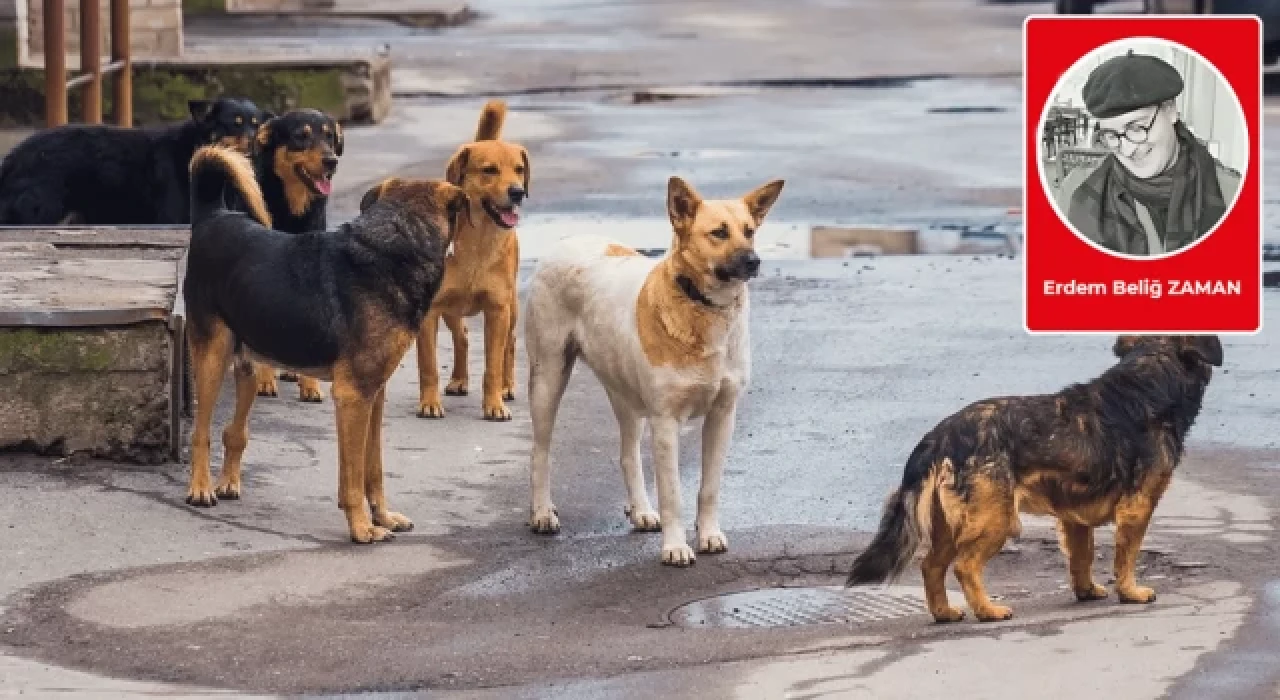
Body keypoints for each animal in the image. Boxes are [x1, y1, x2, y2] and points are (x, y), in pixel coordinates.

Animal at [0, 96, 267, 225]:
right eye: (235, 123)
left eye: (256, 125)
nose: (256, 143)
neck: (194, 147)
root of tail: (14, 157)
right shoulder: (170, 218)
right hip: (37, 213)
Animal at [185, 145, 471, 545]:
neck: (396, 244)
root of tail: (213, 216)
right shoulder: (353, 396)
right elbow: (352, 477)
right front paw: (362, 527)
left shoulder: (373, 395)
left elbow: (373, 469)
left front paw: (383, 516)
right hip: (212, 356)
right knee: (201, 432)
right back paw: (200, 488)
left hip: (249, 365)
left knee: (233, 431)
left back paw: (228, 482)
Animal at [414, 99, 524, 422]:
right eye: (489, 170)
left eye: (519, 170)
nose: (518, 192)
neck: (478, 242)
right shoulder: (430, 312)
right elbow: (428, 365)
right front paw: (429, 402)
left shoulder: (498, 310)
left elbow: (493, 365)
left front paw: (494, 404)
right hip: (451, 309)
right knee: (461, 336)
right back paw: (459, 380)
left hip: (511, 308)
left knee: (510, 344)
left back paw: (507, 386)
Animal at [844, 335, 1223, 624]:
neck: (1148, 382)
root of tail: (940, 436)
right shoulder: (1137, 508)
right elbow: (1126, 557)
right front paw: (1130, 592)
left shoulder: (1074, 518)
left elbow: (1082, 557)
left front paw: (1086, 591)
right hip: (996, 520)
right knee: (964, 567)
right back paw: (988, 611)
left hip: (951, 525)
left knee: (931, 566)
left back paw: (945, 613)